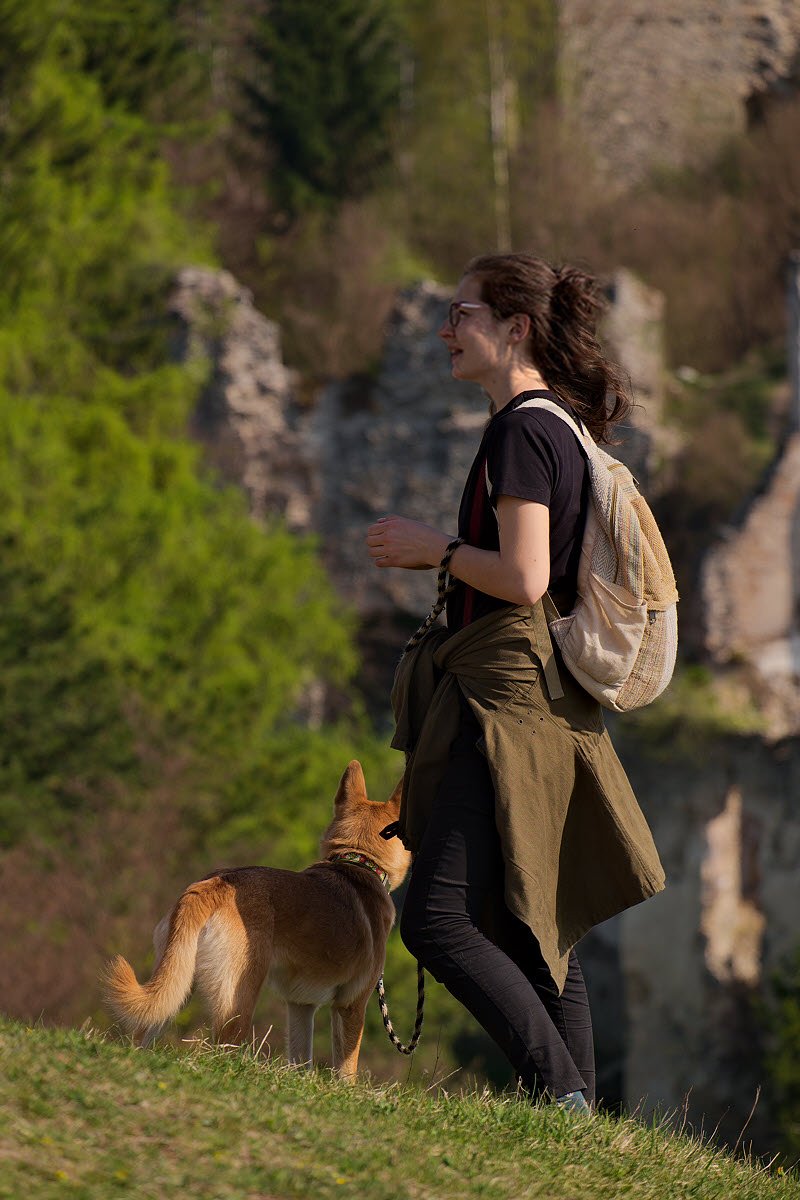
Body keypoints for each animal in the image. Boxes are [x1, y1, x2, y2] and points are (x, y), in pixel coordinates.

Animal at [102, 763, 410, 1084]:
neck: (359, 862)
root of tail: (207, 889)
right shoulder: (351, 1004)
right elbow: (346, 1067)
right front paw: (344, 1091)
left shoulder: (301, 1006)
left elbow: (301, 1057)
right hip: (237, 1002)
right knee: (221, 1051)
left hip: (177, 984)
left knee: (143, 1032)